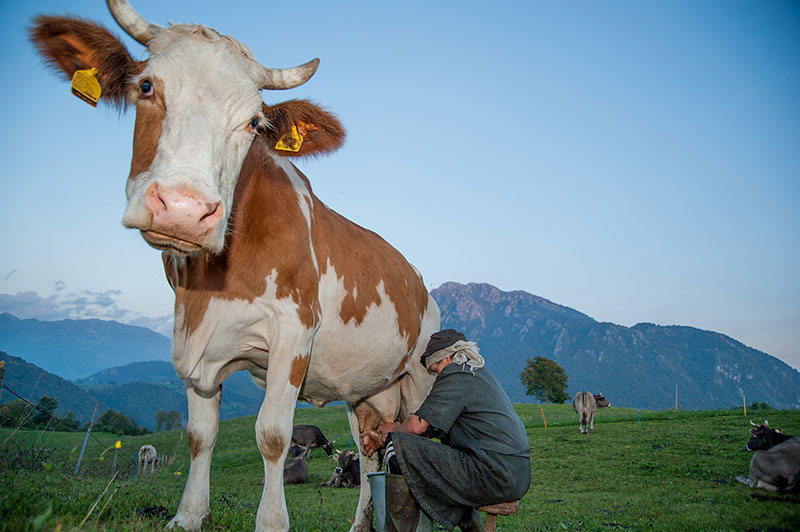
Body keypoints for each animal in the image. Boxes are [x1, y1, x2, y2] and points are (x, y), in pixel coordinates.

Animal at [31, 2, 440, 528]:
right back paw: (358, 523)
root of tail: (422, 284)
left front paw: (271, 521)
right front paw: (188, 515)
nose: (183, 209)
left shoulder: (293, 330)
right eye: (146, 86)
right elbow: (199, 435)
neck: (207, 287)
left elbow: (272, 434)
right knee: (370, 453)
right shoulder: (193, 342)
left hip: (422, 377)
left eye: (253, 122)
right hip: (366, 394)